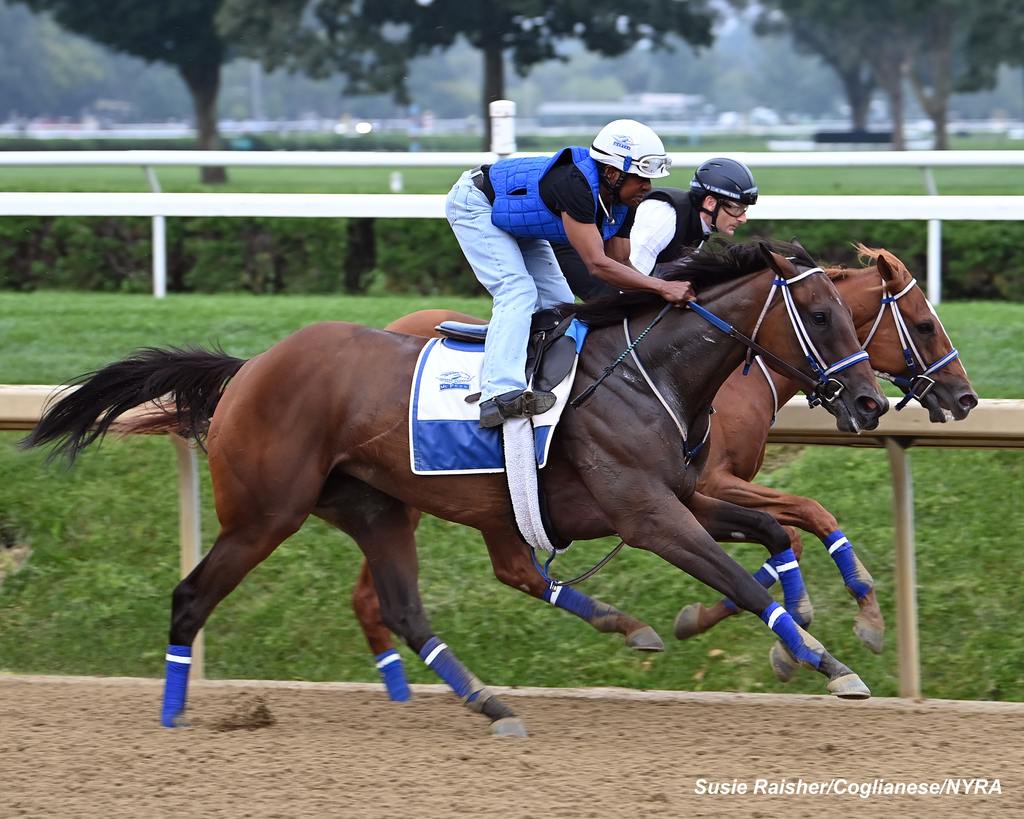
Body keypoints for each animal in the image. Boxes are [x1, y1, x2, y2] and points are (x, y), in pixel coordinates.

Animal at [24, 239, 888, 733]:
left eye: (856, 316)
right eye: (820, 313)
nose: (872, 402)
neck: (649, 372)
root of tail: (249, 369)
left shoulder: (686, 493)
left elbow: (771, 534)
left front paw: (811, 631)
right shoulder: (646, 512)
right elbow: (740, 577)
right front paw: (826, 659)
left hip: (373, 506)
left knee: (406, 606)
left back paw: (494, 701)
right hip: (265, 512)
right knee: (192, 595)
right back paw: (173, 716)